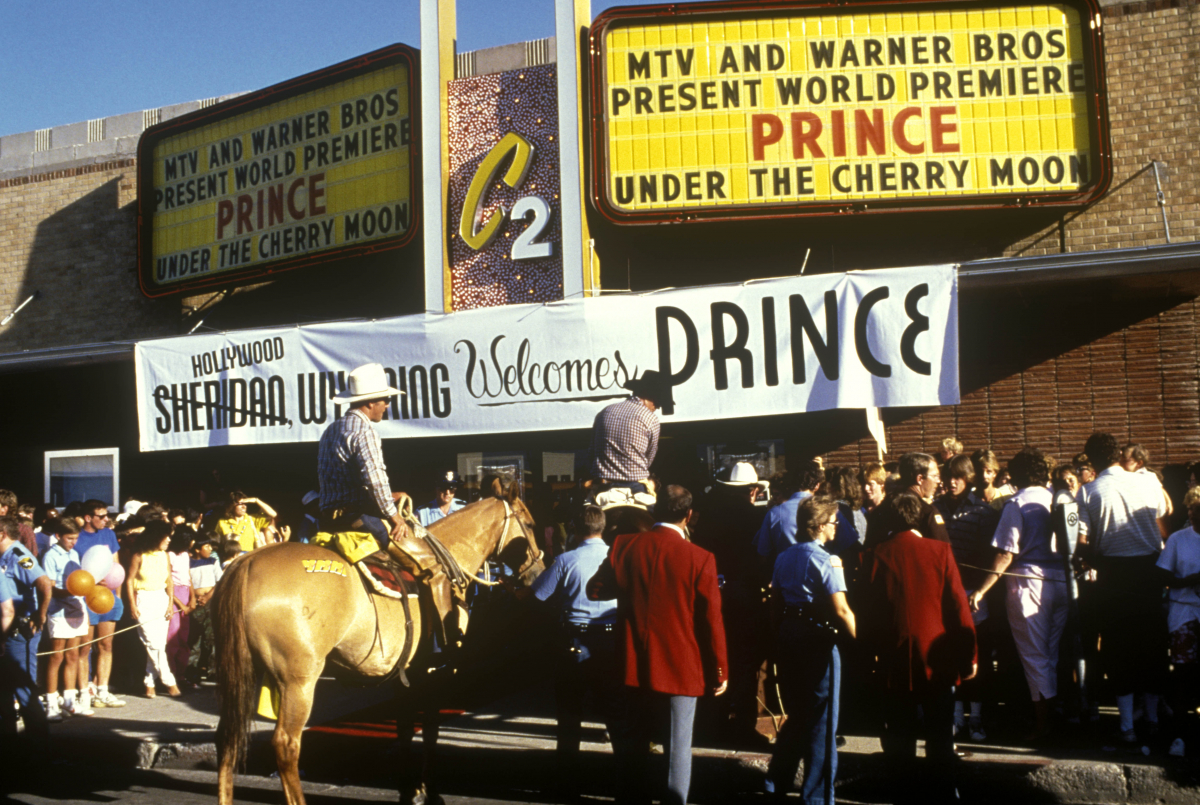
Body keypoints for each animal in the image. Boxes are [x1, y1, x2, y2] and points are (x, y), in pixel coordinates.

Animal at [216, 491, 544, 805]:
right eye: (529, 524)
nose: (538, 571)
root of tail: (246, 564)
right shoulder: (435, 670)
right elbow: (430, 728)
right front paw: (430, 791)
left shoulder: (407, 671)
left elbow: (404, 727)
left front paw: (409, 790)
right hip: (297, 681)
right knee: (286, 744)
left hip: (240, 674)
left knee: (226, 738)